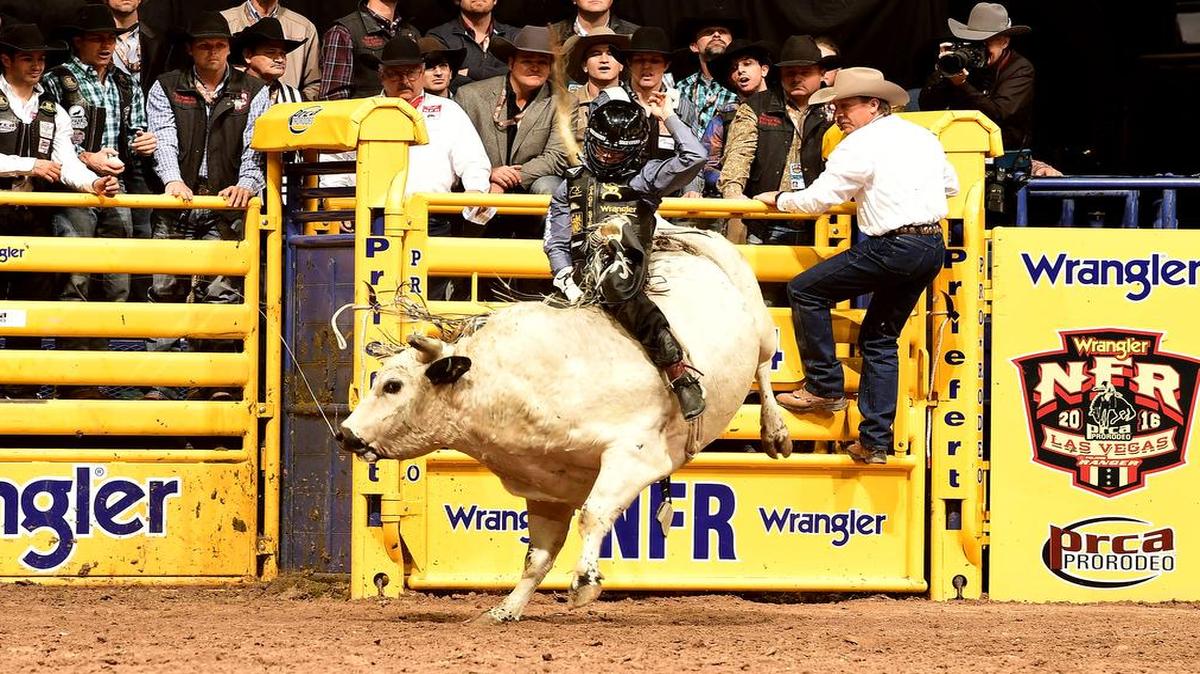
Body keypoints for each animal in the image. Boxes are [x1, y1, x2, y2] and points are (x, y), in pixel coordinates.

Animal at [338, 225, 793, 622]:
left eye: (393, 385)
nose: (345, 434)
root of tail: (676, 236)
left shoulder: (634, 455)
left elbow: (593, 514)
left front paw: (584, 584)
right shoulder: (546, 488)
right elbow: (537, 557)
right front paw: (504, 611)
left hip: (760, 322)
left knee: (764, 365)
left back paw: (775, 431)